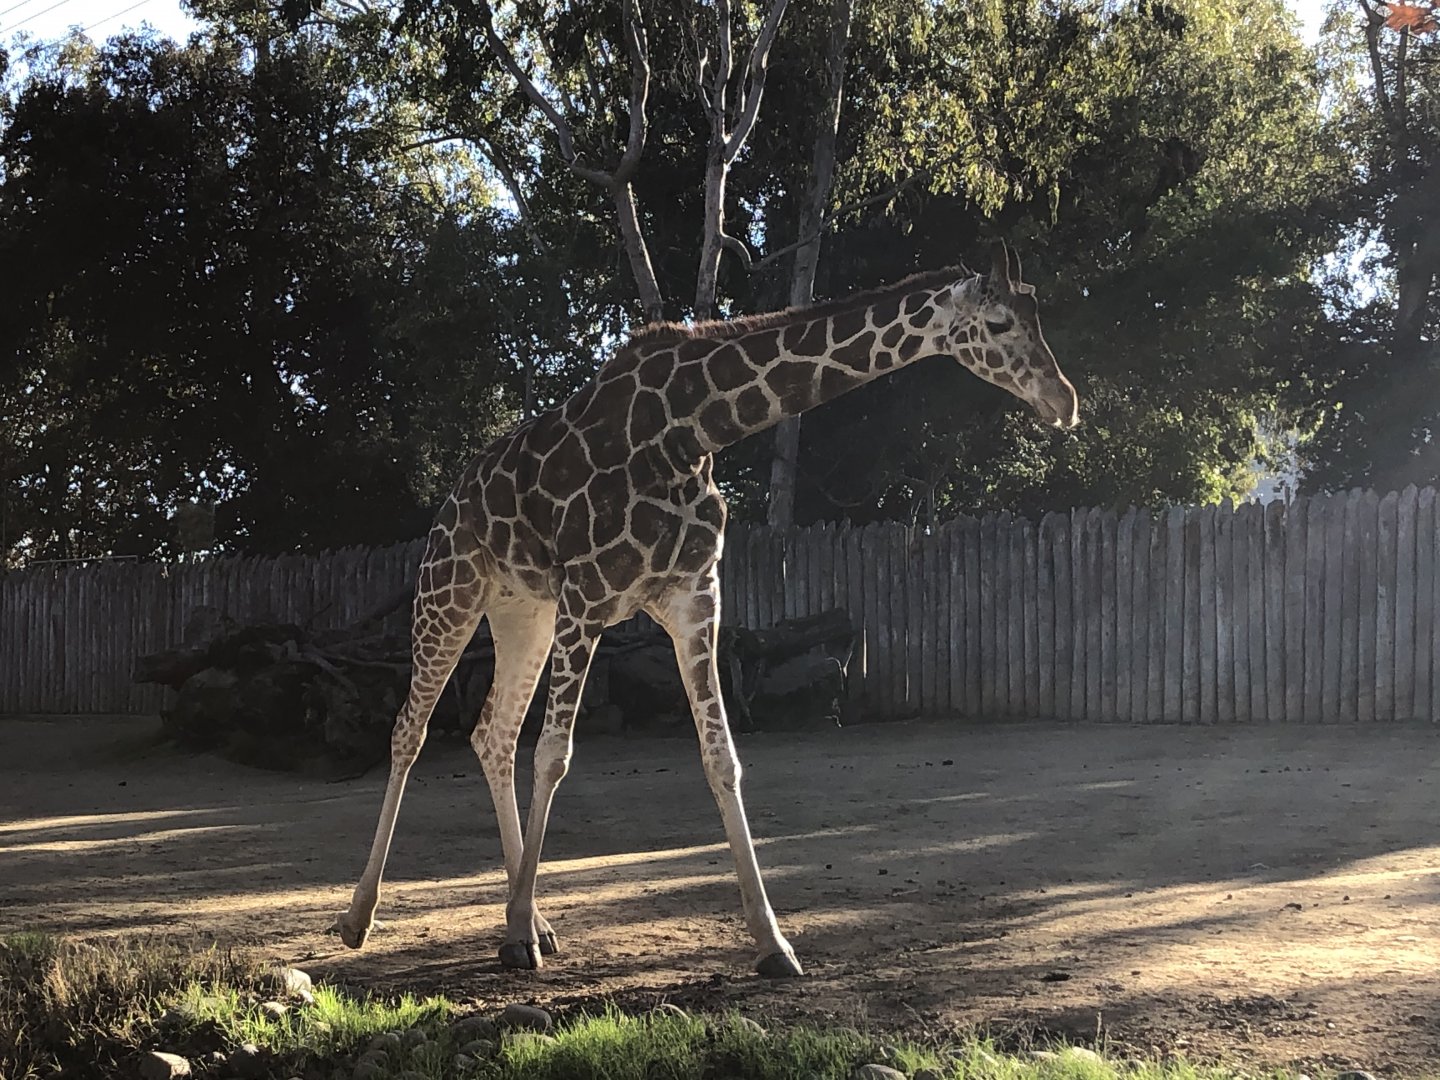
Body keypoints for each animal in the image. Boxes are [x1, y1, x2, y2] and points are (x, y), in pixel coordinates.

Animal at [334, 240, 1079, 978]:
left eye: (1040, 318)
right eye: (1000, 324)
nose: (1064, 401)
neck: (689, 429)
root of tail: (451, 501)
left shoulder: (692, 596)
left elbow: (722, 758)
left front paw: (773, 943)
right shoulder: (588, 597)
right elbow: (554, 756)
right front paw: (513, 935)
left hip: (525, 613)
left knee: (491, 733)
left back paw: (539, 920)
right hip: (449, 592)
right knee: (410, 731)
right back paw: (361, 917)